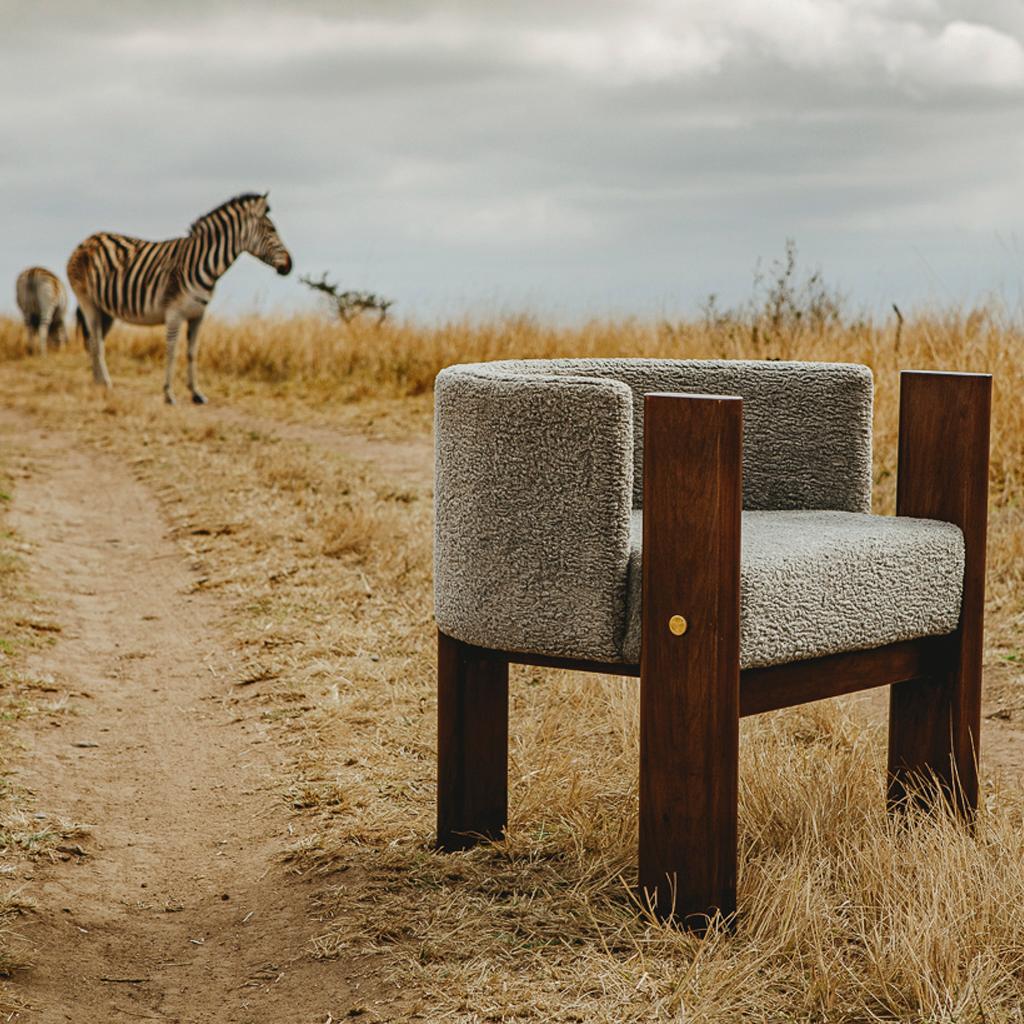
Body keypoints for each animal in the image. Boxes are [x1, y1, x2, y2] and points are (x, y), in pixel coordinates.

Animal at [67, 192, 292, 403]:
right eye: (271, 229)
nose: (290, 265)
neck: (204, 264)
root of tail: (88, 240)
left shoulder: (198, 314)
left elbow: (192, 353)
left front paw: (196, 393)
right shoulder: (174, 313)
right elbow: (172, 352)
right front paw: (169, 394)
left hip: (105, 309)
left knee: (95, 341)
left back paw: (98, 382)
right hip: (87, 302)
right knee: (96, 341)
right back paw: (105, 382)